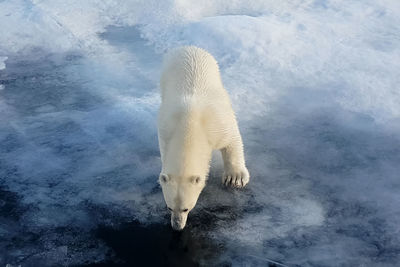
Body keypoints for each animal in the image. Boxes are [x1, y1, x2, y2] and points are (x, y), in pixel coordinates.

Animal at [157, 46, 248, 230]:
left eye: (186, 208)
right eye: (169, 207)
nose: (177, 226)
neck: (190, 124)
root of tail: (188, 47)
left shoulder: (217, 123)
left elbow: (232, 139)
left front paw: (235, 178)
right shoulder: (166, 128)